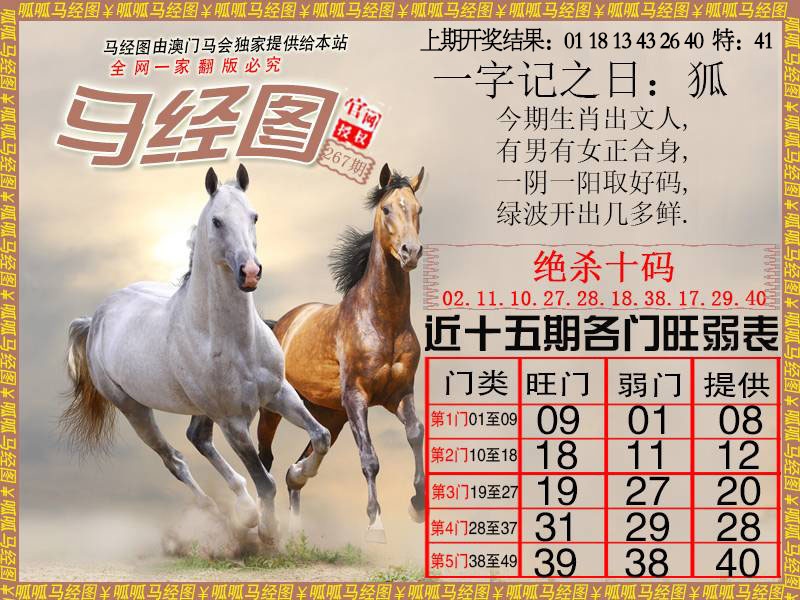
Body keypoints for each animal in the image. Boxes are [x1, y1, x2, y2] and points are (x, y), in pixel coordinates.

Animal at [63, 165, 331, 543]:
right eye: (217, 221)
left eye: (254, 216)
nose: (250, 272)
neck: (235, 341)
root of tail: (96, 317)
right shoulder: (233, 421)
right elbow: (265, 480)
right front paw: (268, 531)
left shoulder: (278, 393)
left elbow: (320, 437)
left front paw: (298, 474)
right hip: (134, 409)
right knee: (174, 459)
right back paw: (225, 515)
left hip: (200, 409)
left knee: (197, 438)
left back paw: (243, 509)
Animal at [256, 163, 425, 543]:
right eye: (386, 209)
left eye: (418, 209)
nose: (410, 252)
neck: (382, 321)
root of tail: (280, 324)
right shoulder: (357, 397)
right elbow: (370, 458)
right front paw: (376, 524)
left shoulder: (399, 395)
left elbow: (415, 434)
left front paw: (417, 505)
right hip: (275, 409)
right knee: (265, 458)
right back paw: (264, 524)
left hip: (329, 414)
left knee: (298, 466)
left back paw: (297, 510)